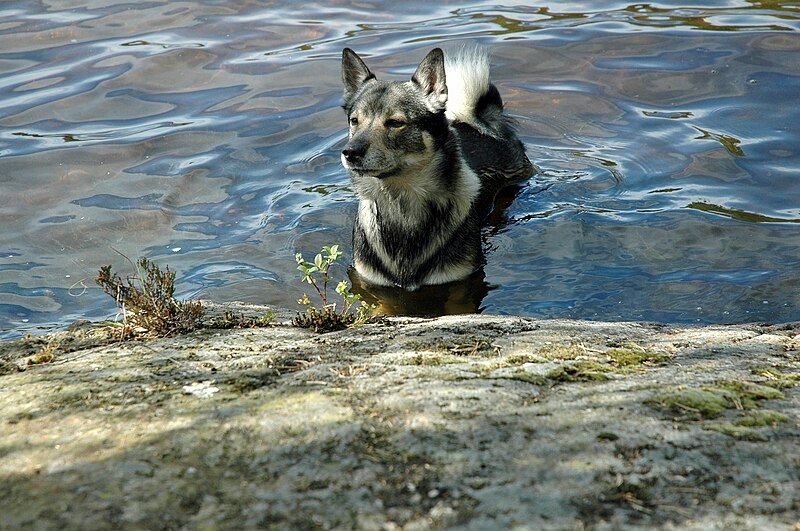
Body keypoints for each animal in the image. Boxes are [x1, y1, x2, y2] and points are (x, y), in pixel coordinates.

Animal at [340, 46, 536, 290]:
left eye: (395, 123)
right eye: (355, 121)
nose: (350, 152)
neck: (402, 208)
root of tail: (478, 123)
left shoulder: (460, 282)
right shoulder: (370, 280)